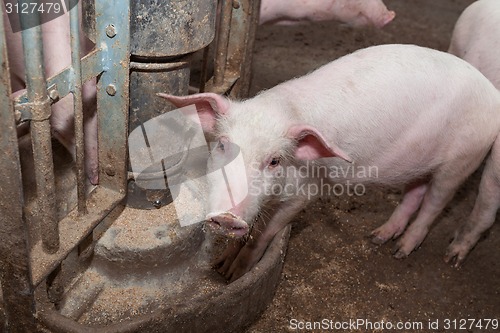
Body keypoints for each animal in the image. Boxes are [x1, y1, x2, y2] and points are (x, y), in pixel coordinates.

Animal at [160, 44, 500, 282]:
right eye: (222, 145)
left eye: (274, 161)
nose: (228, 217)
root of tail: (492, 93)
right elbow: (252, 229)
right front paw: (221, 267)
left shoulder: (306, 193)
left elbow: (265, 235)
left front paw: (235, 274)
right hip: (419, 161)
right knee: (415, 193)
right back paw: (378, 237)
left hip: (463, 158)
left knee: (435, 203)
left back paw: (403, 252)